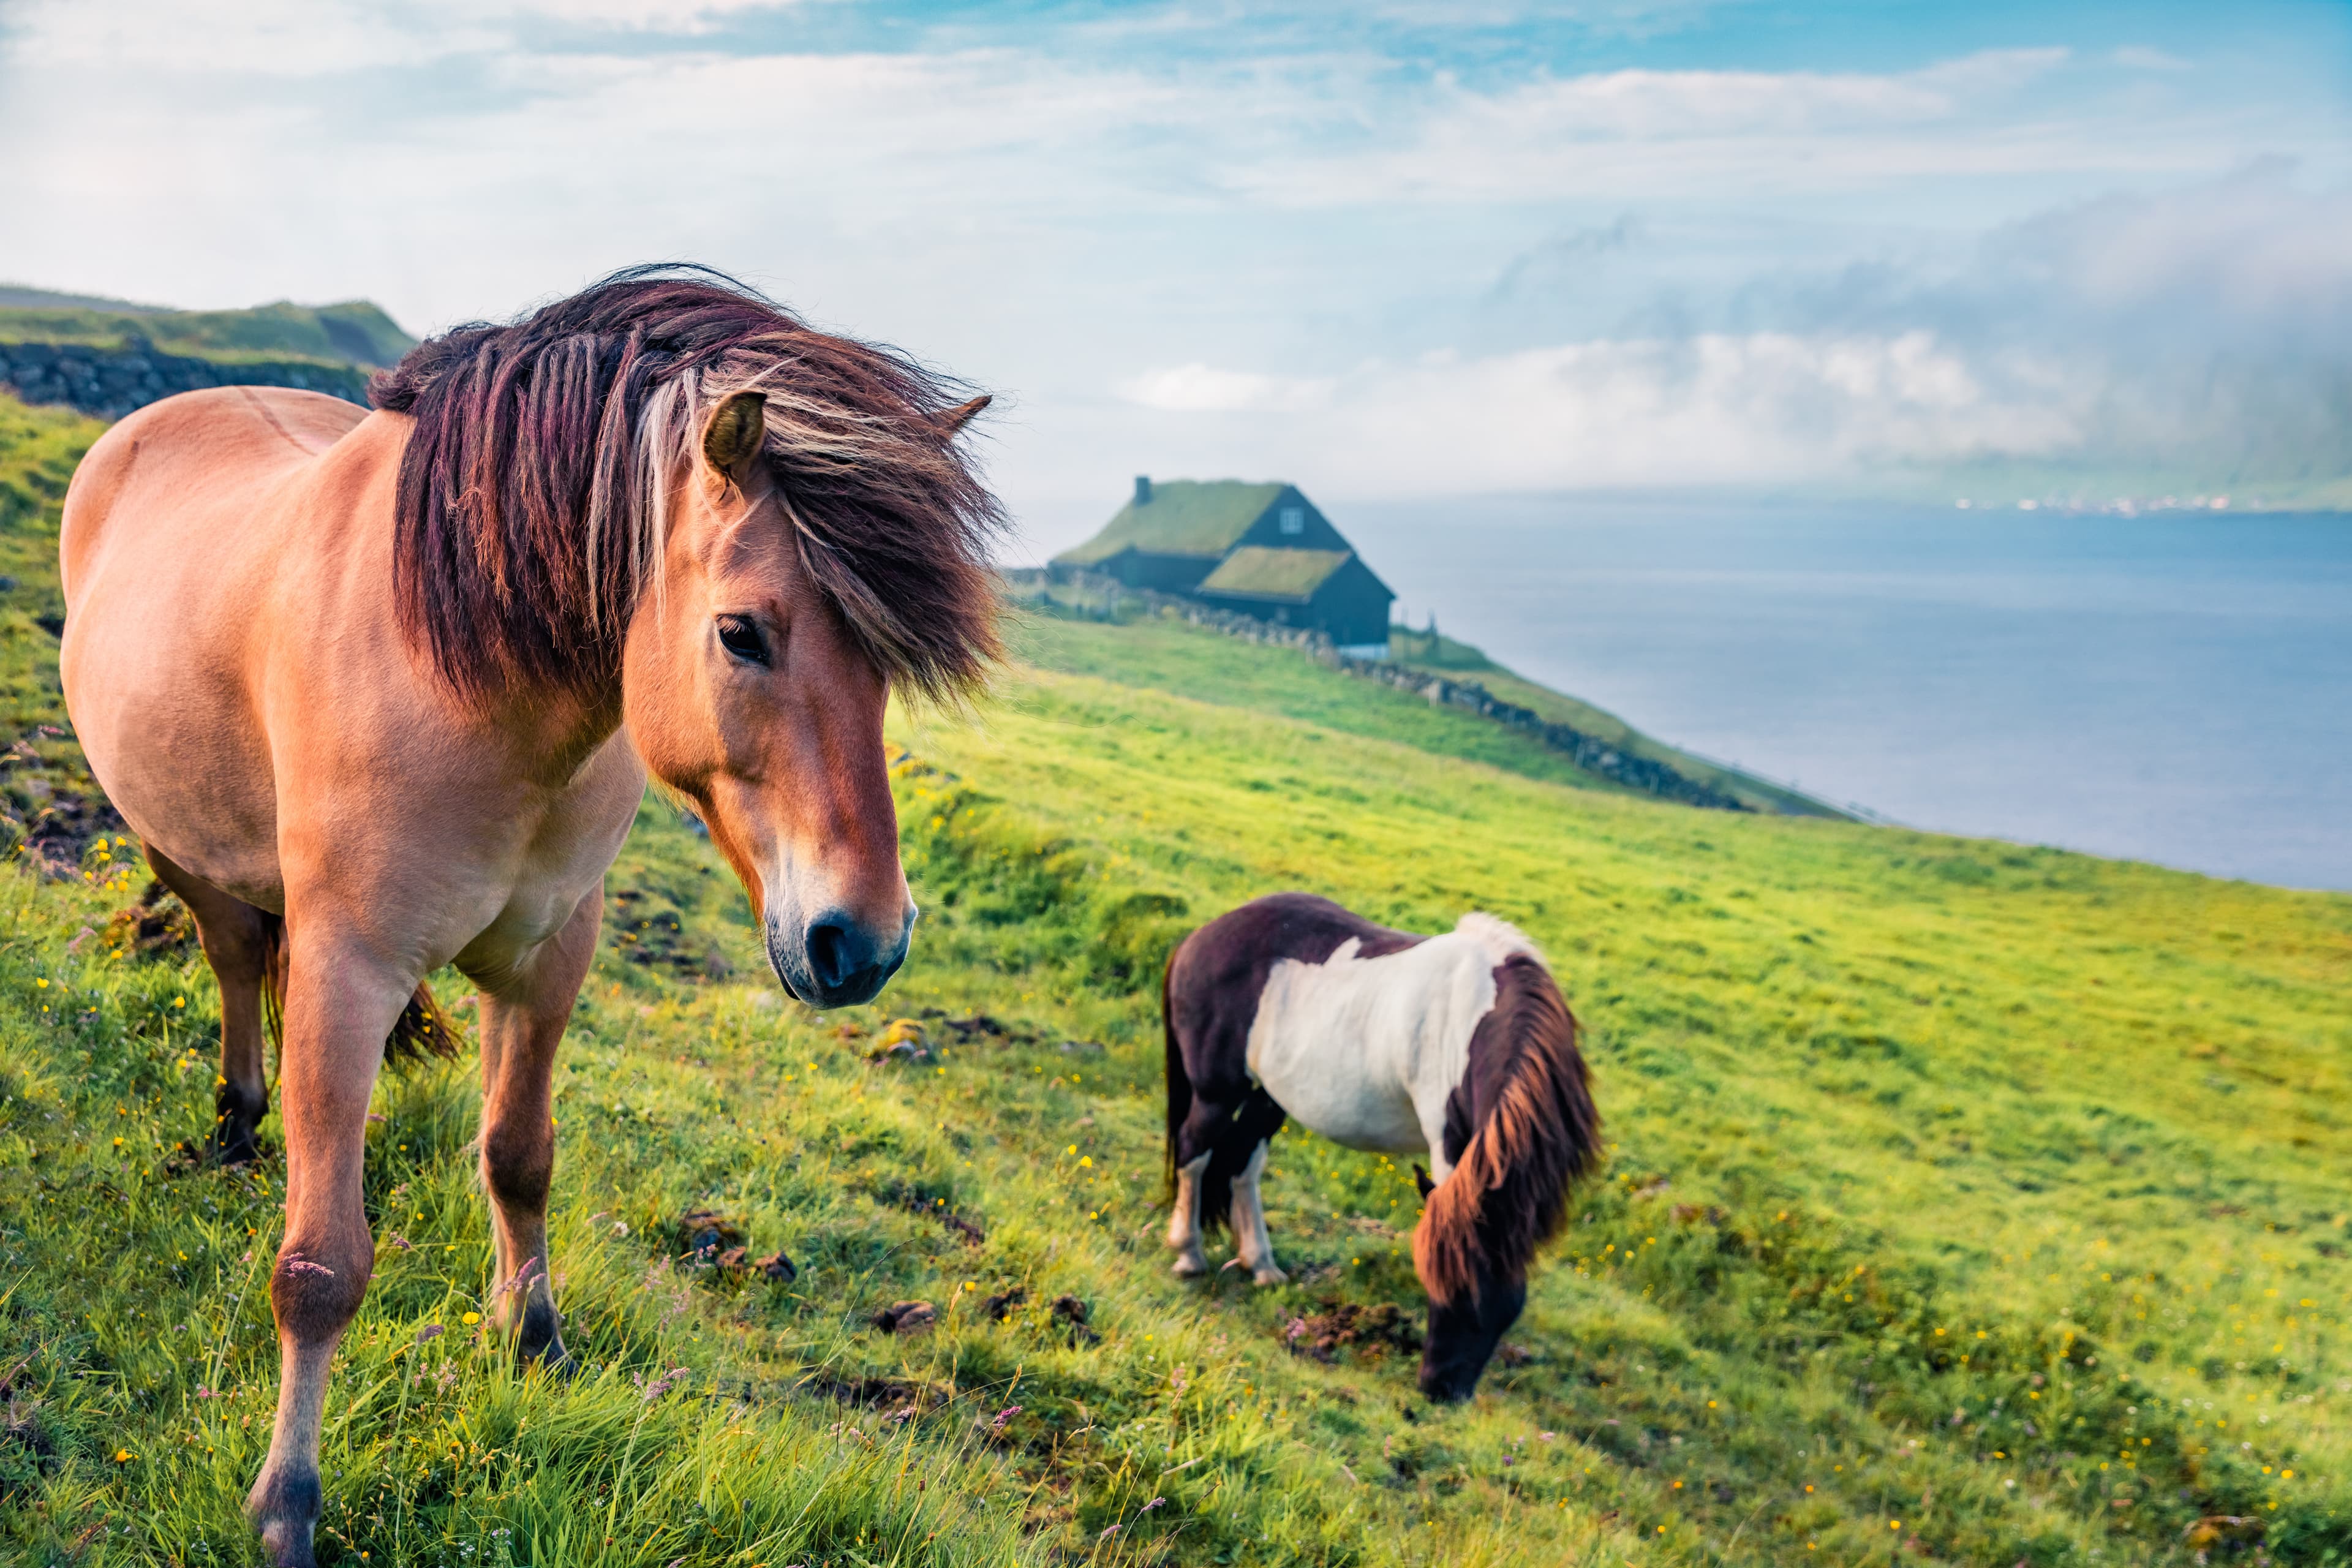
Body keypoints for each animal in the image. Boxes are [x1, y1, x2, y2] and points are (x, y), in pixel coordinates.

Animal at [57, 267, 1001, 1567]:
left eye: (887, 661)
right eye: (741, 633)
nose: (861, 943)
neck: (470, 677)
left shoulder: (553, 956)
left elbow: (519, 1156)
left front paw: (535, 1341)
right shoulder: (351, 969)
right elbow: (321, 1269)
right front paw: (286, 1504)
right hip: (171, 839)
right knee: (237, 950)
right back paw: (240, 1120)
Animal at [1162, 892, 1600, 1401]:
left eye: (1504, 1311)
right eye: (1440, 1286)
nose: (1440, 1390)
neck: (1478, 1020)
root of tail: (1201, 937)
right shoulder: (1449, 1143)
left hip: (1267, 1097)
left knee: (1242, 1166)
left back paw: (1262, 1265)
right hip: (1217, 1093)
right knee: (1195, 1152)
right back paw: (1188, 1255)